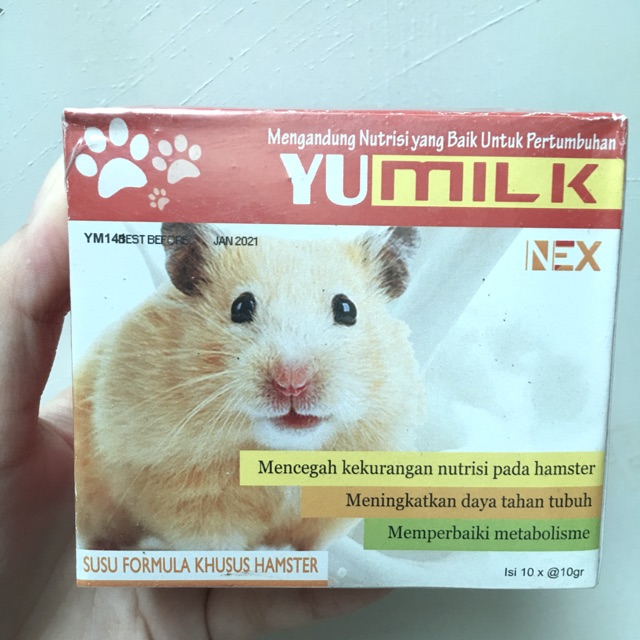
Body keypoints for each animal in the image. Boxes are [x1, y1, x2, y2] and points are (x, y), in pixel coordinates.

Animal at [75, 223, 426, 551]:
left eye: (346, 309)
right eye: (241, 307)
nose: (292, 381)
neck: (283, 454)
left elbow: (312, 546)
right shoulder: (187, 497)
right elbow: (211, 544)